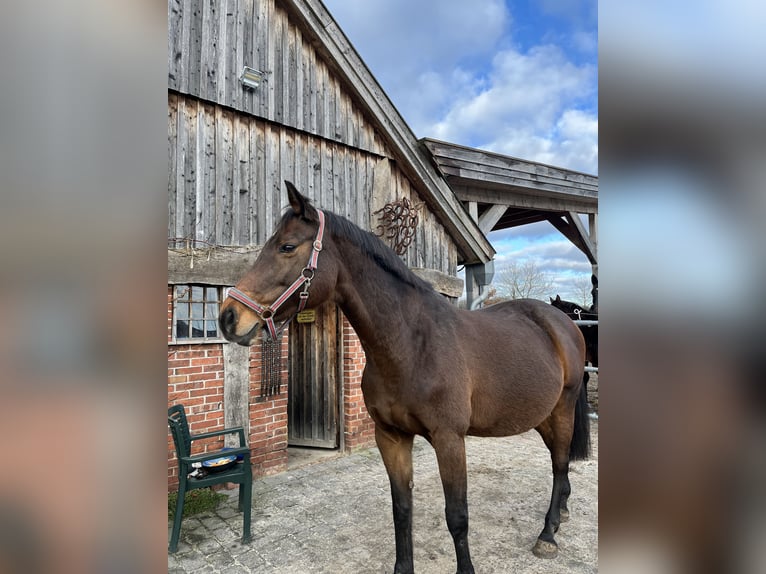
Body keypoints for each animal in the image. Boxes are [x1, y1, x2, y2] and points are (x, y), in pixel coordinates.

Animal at [219, 182, 592, 574]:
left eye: (287, 247)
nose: (229, 317)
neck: (411, 345)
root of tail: (564, 323)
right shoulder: (391, 437)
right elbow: (401, 510)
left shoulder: (449, 439)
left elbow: (457, 516)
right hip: (542, 415)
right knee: (559, 461)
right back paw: (562, 513)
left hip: (562, 409)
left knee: (560, 463)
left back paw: (548, 533)